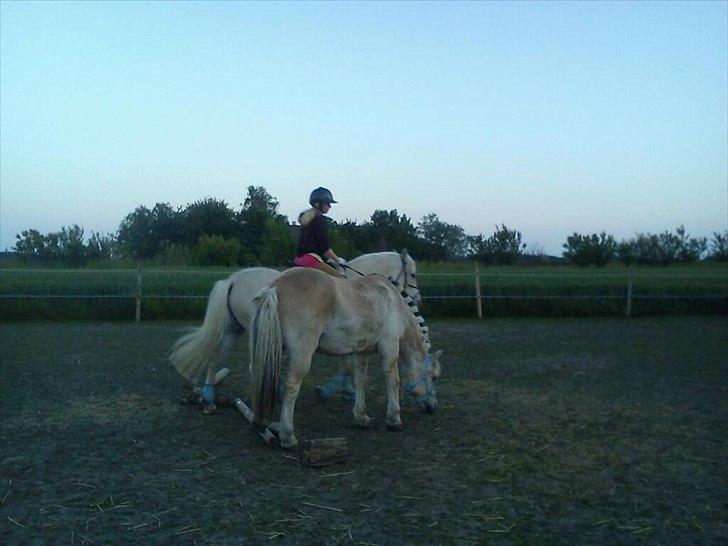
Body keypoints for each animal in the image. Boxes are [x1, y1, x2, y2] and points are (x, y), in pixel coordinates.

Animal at [171, 251, 420, 408]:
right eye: (413, 274)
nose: (416, 298)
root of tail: (233, 279)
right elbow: (348, 363)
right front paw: (346, 390)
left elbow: (348, 362)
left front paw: (347, 389)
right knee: (251, 364)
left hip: (235, 329)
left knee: (217, 355)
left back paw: (209, 397)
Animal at [250, 266, 444, 448]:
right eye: (434, 377)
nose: (432, 407)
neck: (393, 301)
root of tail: (274, 287)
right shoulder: (389, 346)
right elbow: (393, 380)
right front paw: (394, 419)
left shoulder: (362, 353)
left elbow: (360, 380)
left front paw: (361, 417)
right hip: (301, 355)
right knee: (291, 387)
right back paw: (288, 436)